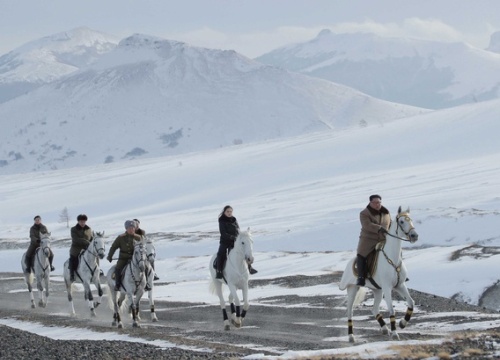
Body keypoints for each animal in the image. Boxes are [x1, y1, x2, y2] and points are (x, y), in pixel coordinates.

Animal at [340, 207, 418, 342]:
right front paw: (395, 333)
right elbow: (391, 309)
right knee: (350, 311)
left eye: (411, 219)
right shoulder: (387, 287)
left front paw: (402, 323)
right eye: (402, 221)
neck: (393, 258)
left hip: (377, 290)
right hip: (353, 289)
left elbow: (411, 303)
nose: (414, 235)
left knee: (374, 309)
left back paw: (384, 328)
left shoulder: (400, 285)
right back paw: (351, 336)